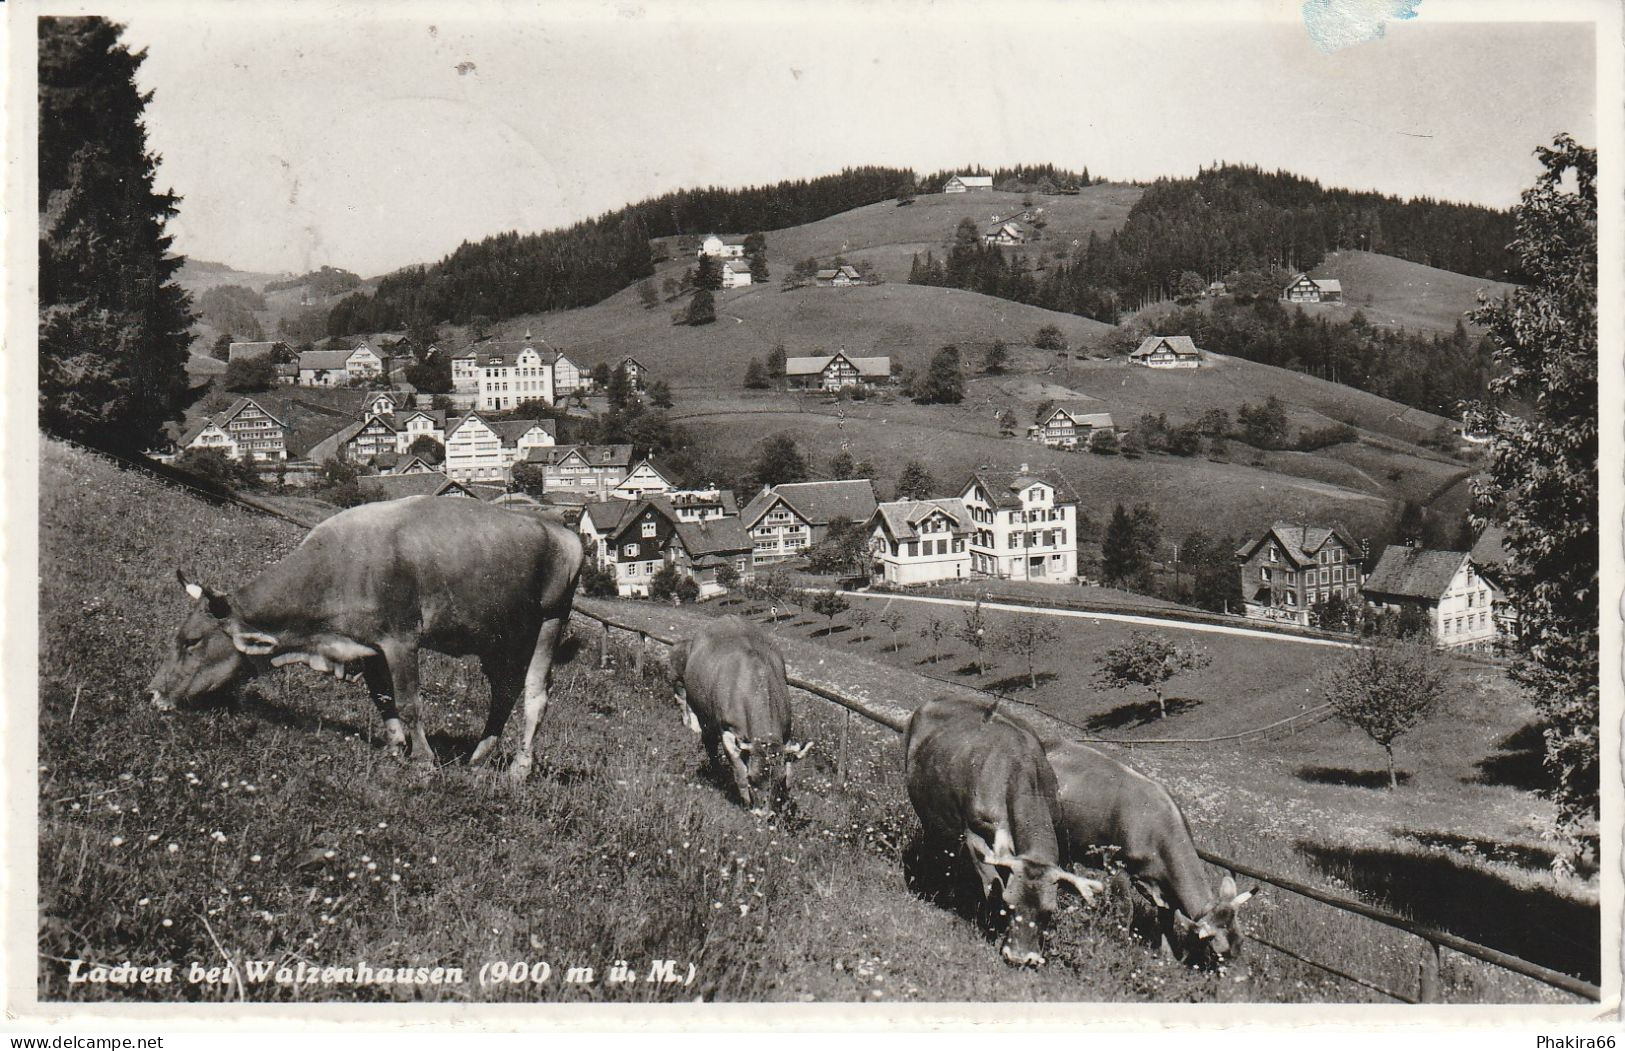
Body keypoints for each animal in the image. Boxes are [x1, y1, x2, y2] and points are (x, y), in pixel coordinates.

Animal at [143, 497, 581, 779]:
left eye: (192, 641)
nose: (152, 692)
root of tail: (563, 531)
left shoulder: (401, 639)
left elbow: (408, 702)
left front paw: (423, 761)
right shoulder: (368, 644)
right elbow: (382, 698)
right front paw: (395, 748)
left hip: (550, 621)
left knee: (535, 696)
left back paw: (520, 768)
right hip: (497, 636)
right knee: (503, 691)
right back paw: (479, 755)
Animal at [663, 620, 809, 818]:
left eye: (778, 780)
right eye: (751, 778)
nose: (764, 815)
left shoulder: (785, 735)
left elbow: (789, 772)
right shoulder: (728, 731)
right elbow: (738, 769)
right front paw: (746, 801)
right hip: (702, 711)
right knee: (708, 741)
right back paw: (716, 772)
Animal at [1046, 737, 1248, 968]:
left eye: (1241, 943)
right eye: (1218, 953)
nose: (1234, 979)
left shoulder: (1164, 884)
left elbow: (1167, 917)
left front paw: (1168, 955)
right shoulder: (1117, 865)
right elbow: (1126, 907)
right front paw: (1121, 941)